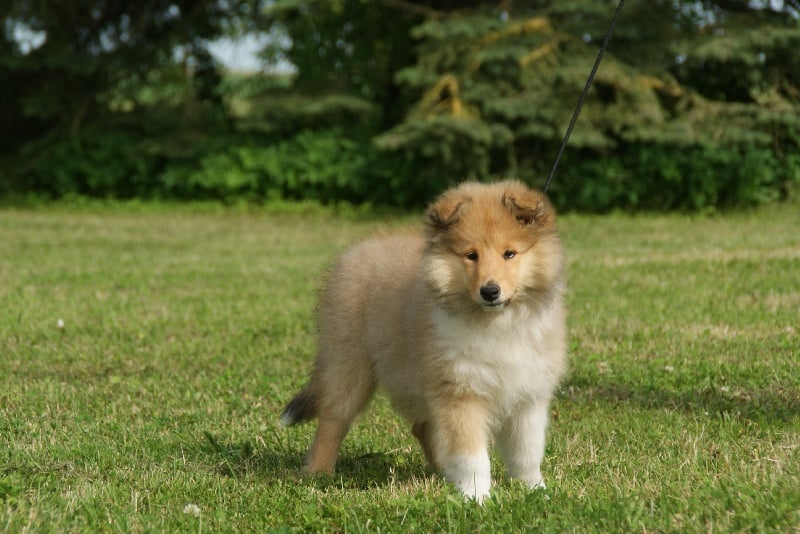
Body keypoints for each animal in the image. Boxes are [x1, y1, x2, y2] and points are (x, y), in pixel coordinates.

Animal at [281, 180, 567, 503]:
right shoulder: (460, 390)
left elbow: (527, 450)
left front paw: (534, 489)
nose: (490, 291)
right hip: (349, 362)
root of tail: (358, 249)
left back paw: (443, 470)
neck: (496, 323)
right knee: (333, 419)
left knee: (422, 426)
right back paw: (318, 473)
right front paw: (476, 496)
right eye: (471, 255)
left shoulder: (528, 395)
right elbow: (471, 453)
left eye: (510, 253)